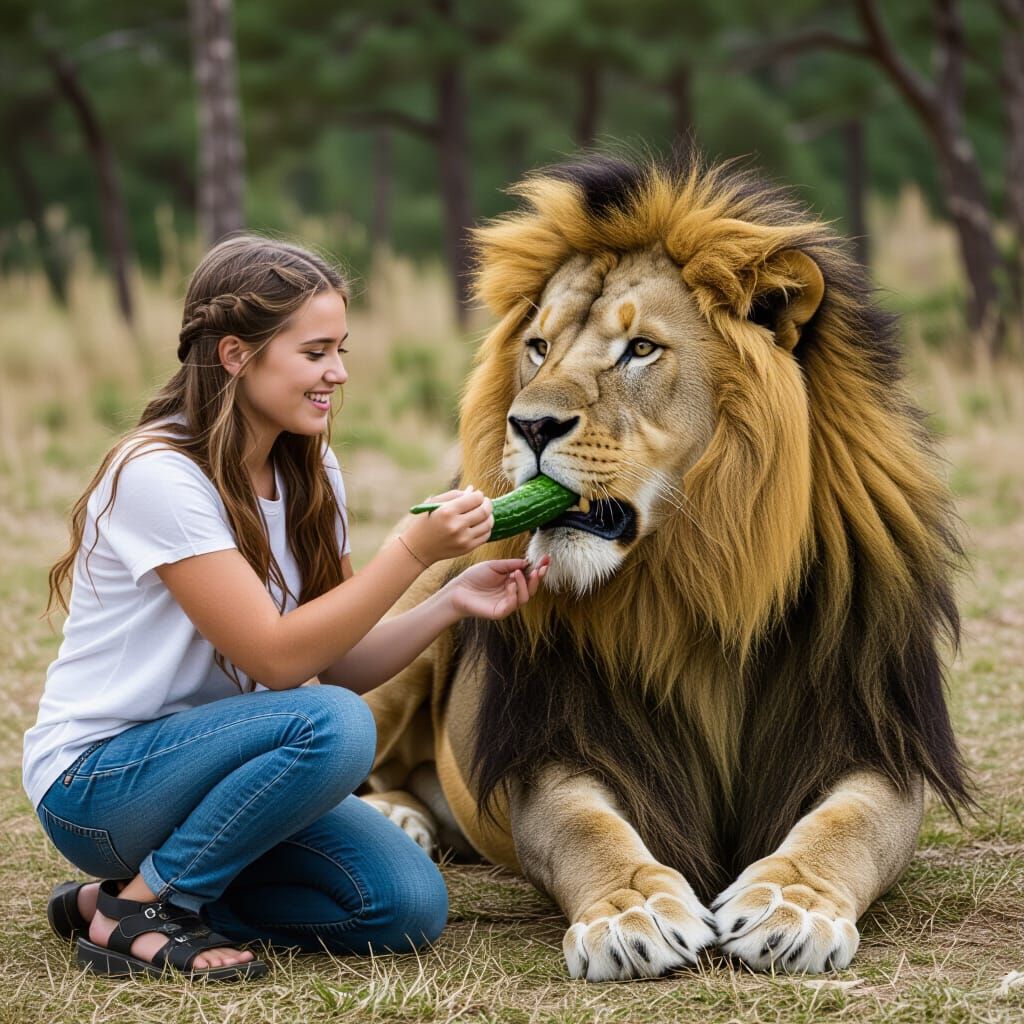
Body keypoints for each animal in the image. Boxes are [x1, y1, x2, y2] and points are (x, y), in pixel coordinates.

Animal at [360, 153, 970, 981]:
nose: (529, 425)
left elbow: (850, 825)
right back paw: (394, 817)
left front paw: (790, 906)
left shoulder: (875, 738)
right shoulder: (558, 747)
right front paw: (632, 913)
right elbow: (586, 829)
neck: (702, 580)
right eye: (539, 347)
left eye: (640, 349)